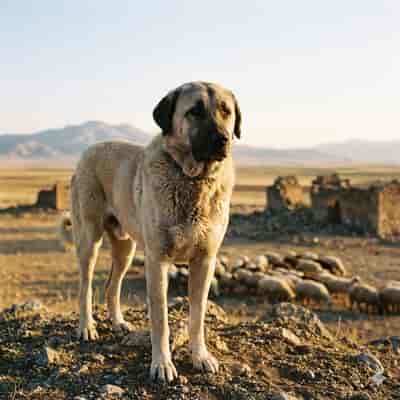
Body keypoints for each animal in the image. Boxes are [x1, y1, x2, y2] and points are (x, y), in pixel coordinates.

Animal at [69, 81, 241, 382]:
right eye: (194, 111)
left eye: (226, 111)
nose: (223, 139)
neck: (192, 179)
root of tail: (89, 149)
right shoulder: (157, 260)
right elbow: (160, 320)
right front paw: (162, 364)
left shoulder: (205, 261)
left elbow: (197, 316)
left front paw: (200, 356)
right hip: (89, 240)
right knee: (85, 287)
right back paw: (87, 327)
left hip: (126, 248)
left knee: (111, 286)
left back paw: (118, 322)